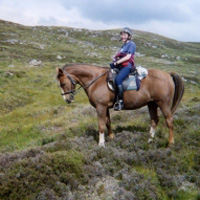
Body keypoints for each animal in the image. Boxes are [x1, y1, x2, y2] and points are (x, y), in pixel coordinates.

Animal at [56, 64, 184, 147]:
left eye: (63, 83)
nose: (67, 100)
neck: (96, 80)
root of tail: (168, 74)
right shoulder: (105, 107)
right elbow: (108, 122)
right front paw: (111, 138)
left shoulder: (101, 107)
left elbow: (101, 125)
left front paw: (101, 144)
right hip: (152, 104)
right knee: (154, 120)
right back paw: (150, 140)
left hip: (163, 104)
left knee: (169, 121)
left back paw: (170, 143)